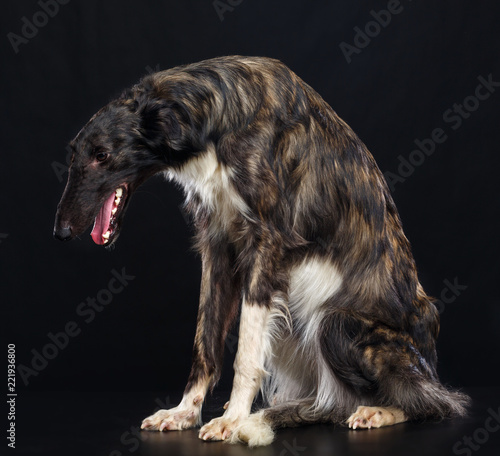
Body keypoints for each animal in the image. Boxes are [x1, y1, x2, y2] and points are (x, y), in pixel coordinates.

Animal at [52, 55, 466, 448]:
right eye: (73, 155)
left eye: (102, 155)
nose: (60, 232)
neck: (216, 117)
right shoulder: (216, 246)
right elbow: (205, 344)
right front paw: (186, 412)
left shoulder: (267, 247)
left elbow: (245, 356)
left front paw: (233, 418)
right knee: (334, 402)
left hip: (338, 323)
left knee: (430, 402)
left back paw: (377, 411)